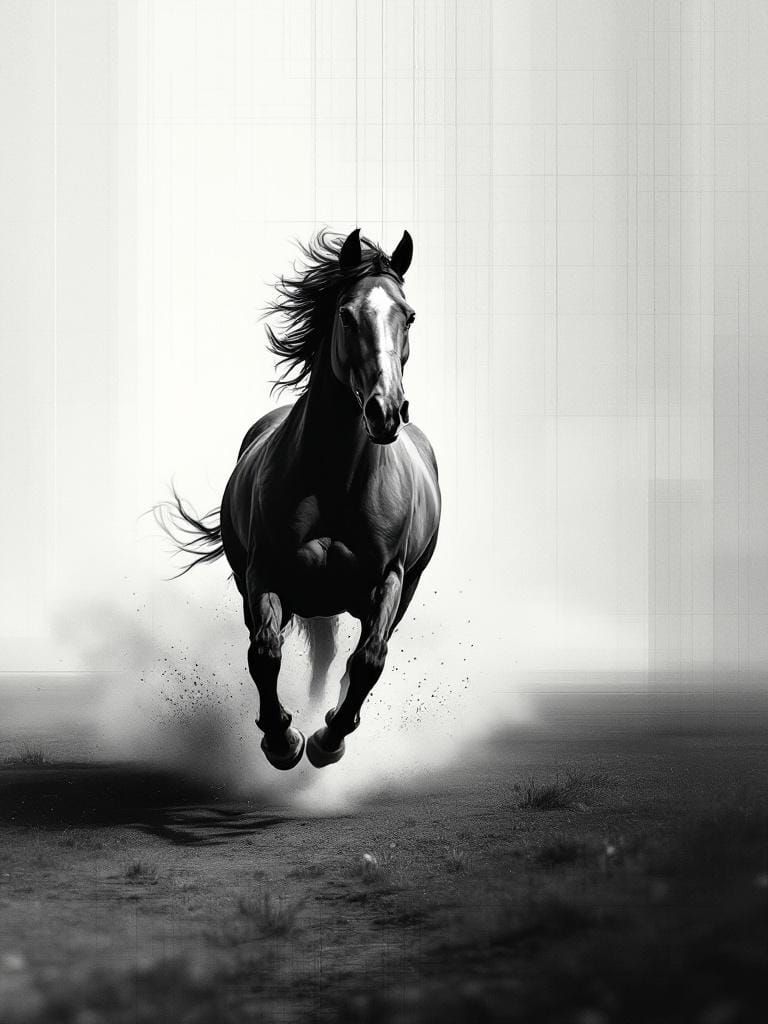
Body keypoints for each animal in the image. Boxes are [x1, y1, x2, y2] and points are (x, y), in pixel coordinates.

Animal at [159, 228, 441, 769]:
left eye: (410, 316)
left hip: (399, 588)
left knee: (347, 658)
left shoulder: (390, 580)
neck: (336, 482)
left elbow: (369, 660)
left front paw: (329, 739)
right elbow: (265, 653)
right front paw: (283, 740)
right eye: (346, 316)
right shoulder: (264, 573)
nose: (386, 411)